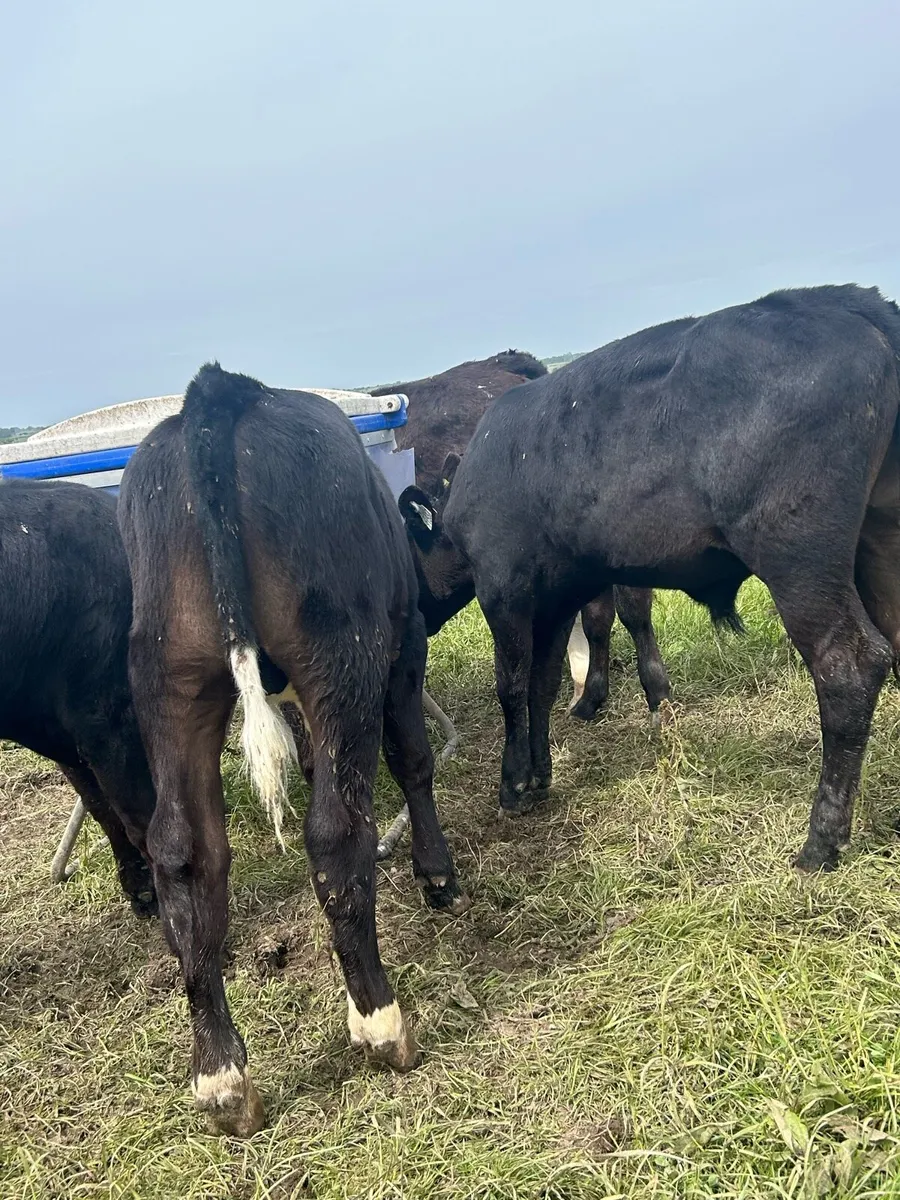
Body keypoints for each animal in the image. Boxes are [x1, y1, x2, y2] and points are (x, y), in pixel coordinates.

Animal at [117, 363, 469, 1136]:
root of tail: (219, 394)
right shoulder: (403, 650)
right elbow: (413, 760)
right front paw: (437, 876)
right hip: (342, 652)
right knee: (336, 831)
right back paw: (380, 1022)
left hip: (168, 680)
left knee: (183, 852)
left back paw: (222, 1079)